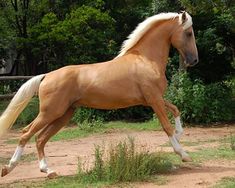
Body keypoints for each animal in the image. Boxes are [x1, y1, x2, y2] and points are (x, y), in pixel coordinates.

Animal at [0, 11, 198, 178]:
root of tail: (46, 76)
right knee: (26, 133)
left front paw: (180, 135)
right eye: (189, 33)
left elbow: (176, 109)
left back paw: (48, 171)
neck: (145, 59)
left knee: (40, 138)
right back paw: (9, 168)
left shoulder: (153, 99)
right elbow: (166, 126)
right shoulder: (154, 100)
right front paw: (184, 154)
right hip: (50, 112)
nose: (194, 60)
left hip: (63, 115)